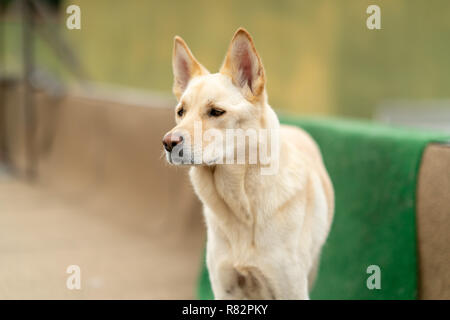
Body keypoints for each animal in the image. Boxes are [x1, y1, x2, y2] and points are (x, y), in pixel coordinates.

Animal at [163, 27, 334, 300]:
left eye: (216, 112)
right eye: (181, 112)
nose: (168, 143)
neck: (241, 204)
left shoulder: (292, 289)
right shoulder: (224, 288)